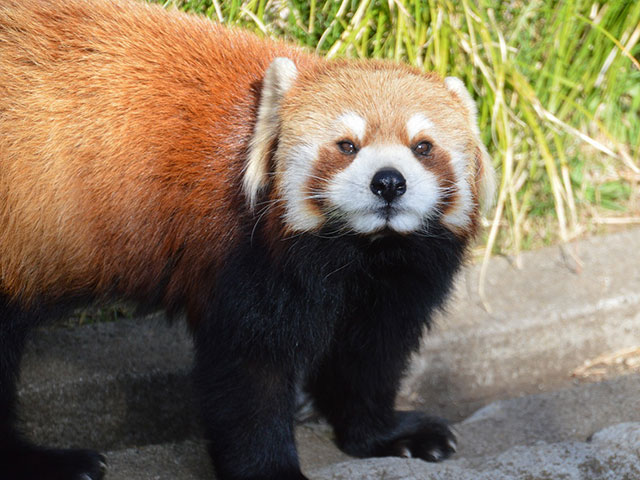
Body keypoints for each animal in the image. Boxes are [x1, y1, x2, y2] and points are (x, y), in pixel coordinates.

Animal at [0, 0, 496, 480]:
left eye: (422, 147)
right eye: (347, 146)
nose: (389, 182)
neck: (362, 250)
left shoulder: (395, 278)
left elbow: (370, 353)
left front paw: (385, 435)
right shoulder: (244, 253)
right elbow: (250, 373)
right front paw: (271, 468)